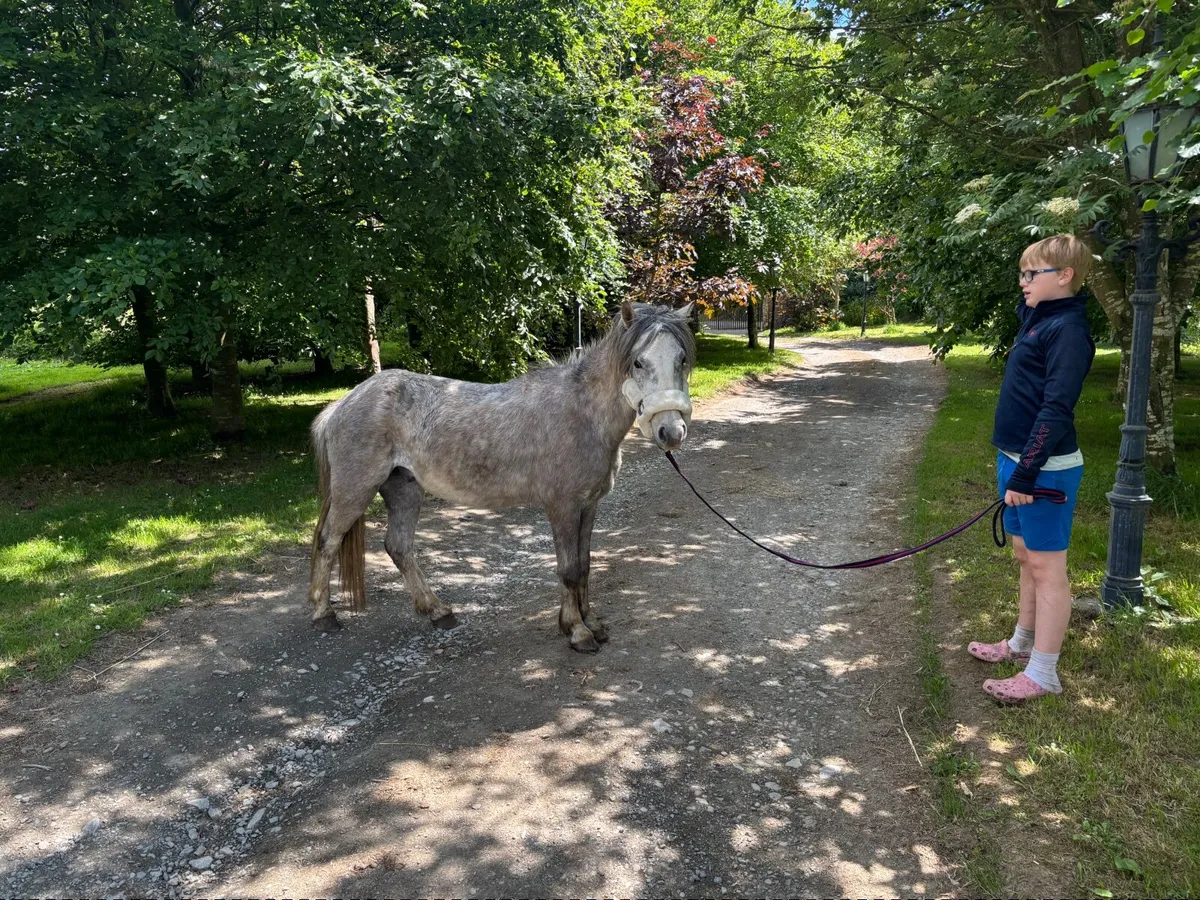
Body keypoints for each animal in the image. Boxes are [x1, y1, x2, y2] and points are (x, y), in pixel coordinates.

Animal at [307, 300, 696, 652]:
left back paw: (438, 611)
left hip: (404, 490)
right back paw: (324, 614)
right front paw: (577, 631)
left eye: (682, 359)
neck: (583, 415)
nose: (671, 432)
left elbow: (585, 566)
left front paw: (592, 623)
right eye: (639, 362)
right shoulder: (563, 507)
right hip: (355, 490)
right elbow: (569, 569)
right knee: (328, 540)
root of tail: (343, 403)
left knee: (399, 546)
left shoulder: (589, 506)